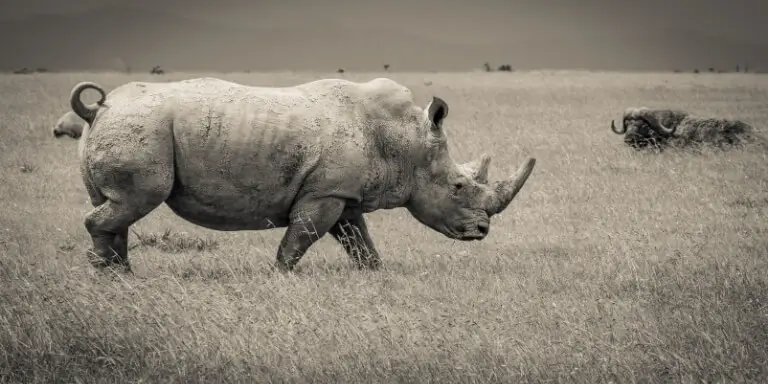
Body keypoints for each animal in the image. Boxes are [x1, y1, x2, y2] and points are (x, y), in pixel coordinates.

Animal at [69, 76, 536, 272]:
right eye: (458, 186)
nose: (482, 231)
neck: (406, 140)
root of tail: (99, 108)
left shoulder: (344, 192)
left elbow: (359, 241)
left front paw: (375, 274)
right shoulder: (325, 192)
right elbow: (301, 238)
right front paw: (280, 276)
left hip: (128, 128)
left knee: (117, 206)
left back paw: (118, 273)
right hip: (142, 130)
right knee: (135, 201)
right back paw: (112, 276)